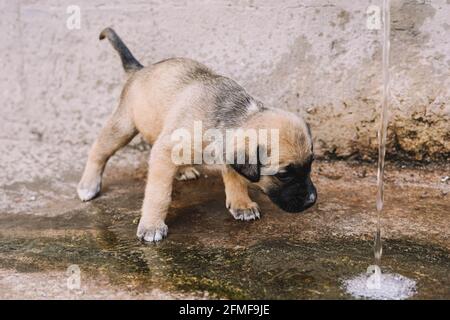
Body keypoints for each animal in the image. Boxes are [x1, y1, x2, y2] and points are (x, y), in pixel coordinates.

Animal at [77, 28, 316, 242]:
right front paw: (152, 225)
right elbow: (158, 194)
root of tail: (138, 71)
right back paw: (88, 184)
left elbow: (235, 175)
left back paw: (183, 169)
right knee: (99, 150)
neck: (232, 116)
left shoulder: (226, 152)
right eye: (283, 174)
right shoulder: (165, 152)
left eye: (311, 164)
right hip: (123, 126)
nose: (312, 201)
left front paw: (241, 203)